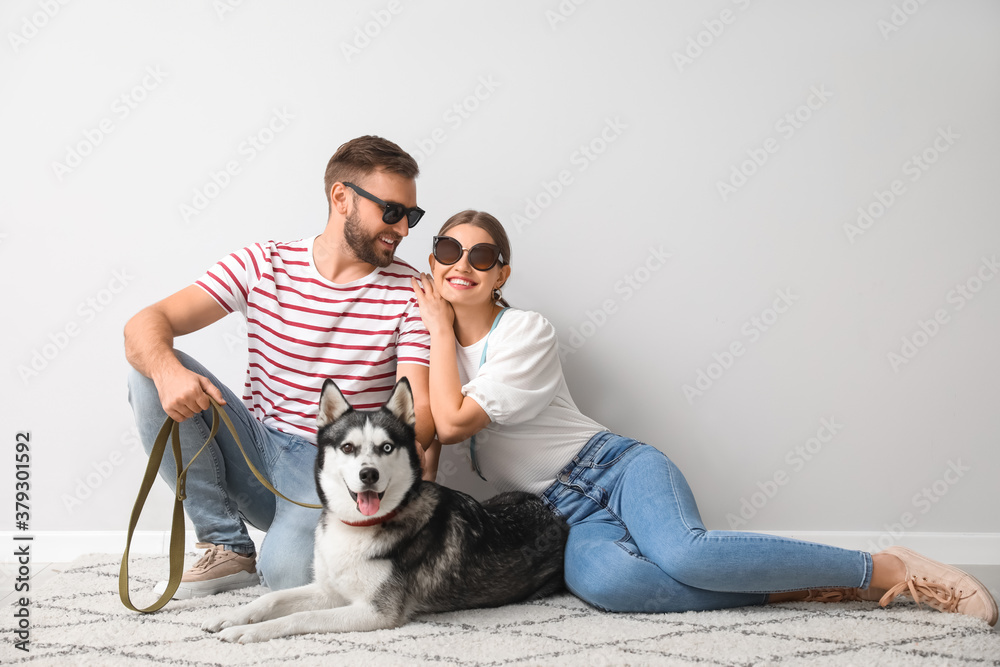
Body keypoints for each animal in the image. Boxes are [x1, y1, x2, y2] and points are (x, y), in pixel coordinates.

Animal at [201, 378, 572, 644]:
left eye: (387, 447)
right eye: (347, 447)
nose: (369, 474)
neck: (358, 527)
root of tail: (554, 514)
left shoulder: (376, 612)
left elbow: (298, 618)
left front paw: (250, 631)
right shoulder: (329, 590)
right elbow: (271, 600)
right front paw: (234, 617)